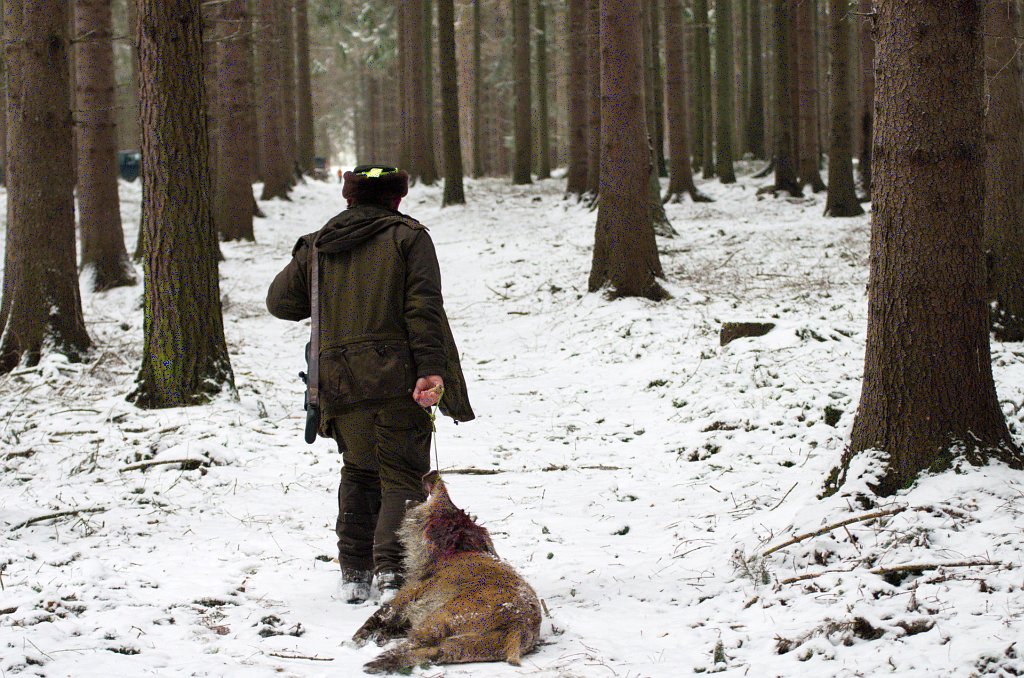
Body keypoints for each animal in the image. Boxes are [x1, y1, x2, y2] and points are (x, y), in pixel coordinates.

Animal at [352, 470, 542, 674]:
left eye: (449, 503)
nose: (434, 473)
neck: (447, 551)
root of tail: (518, 625)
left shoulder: (409, 593)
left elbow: (380, 614)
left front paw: (358, 638)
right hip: (465, 646)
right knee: (431, 652)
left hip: (443, 617)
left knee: (414, 642)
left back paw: (372, 661)